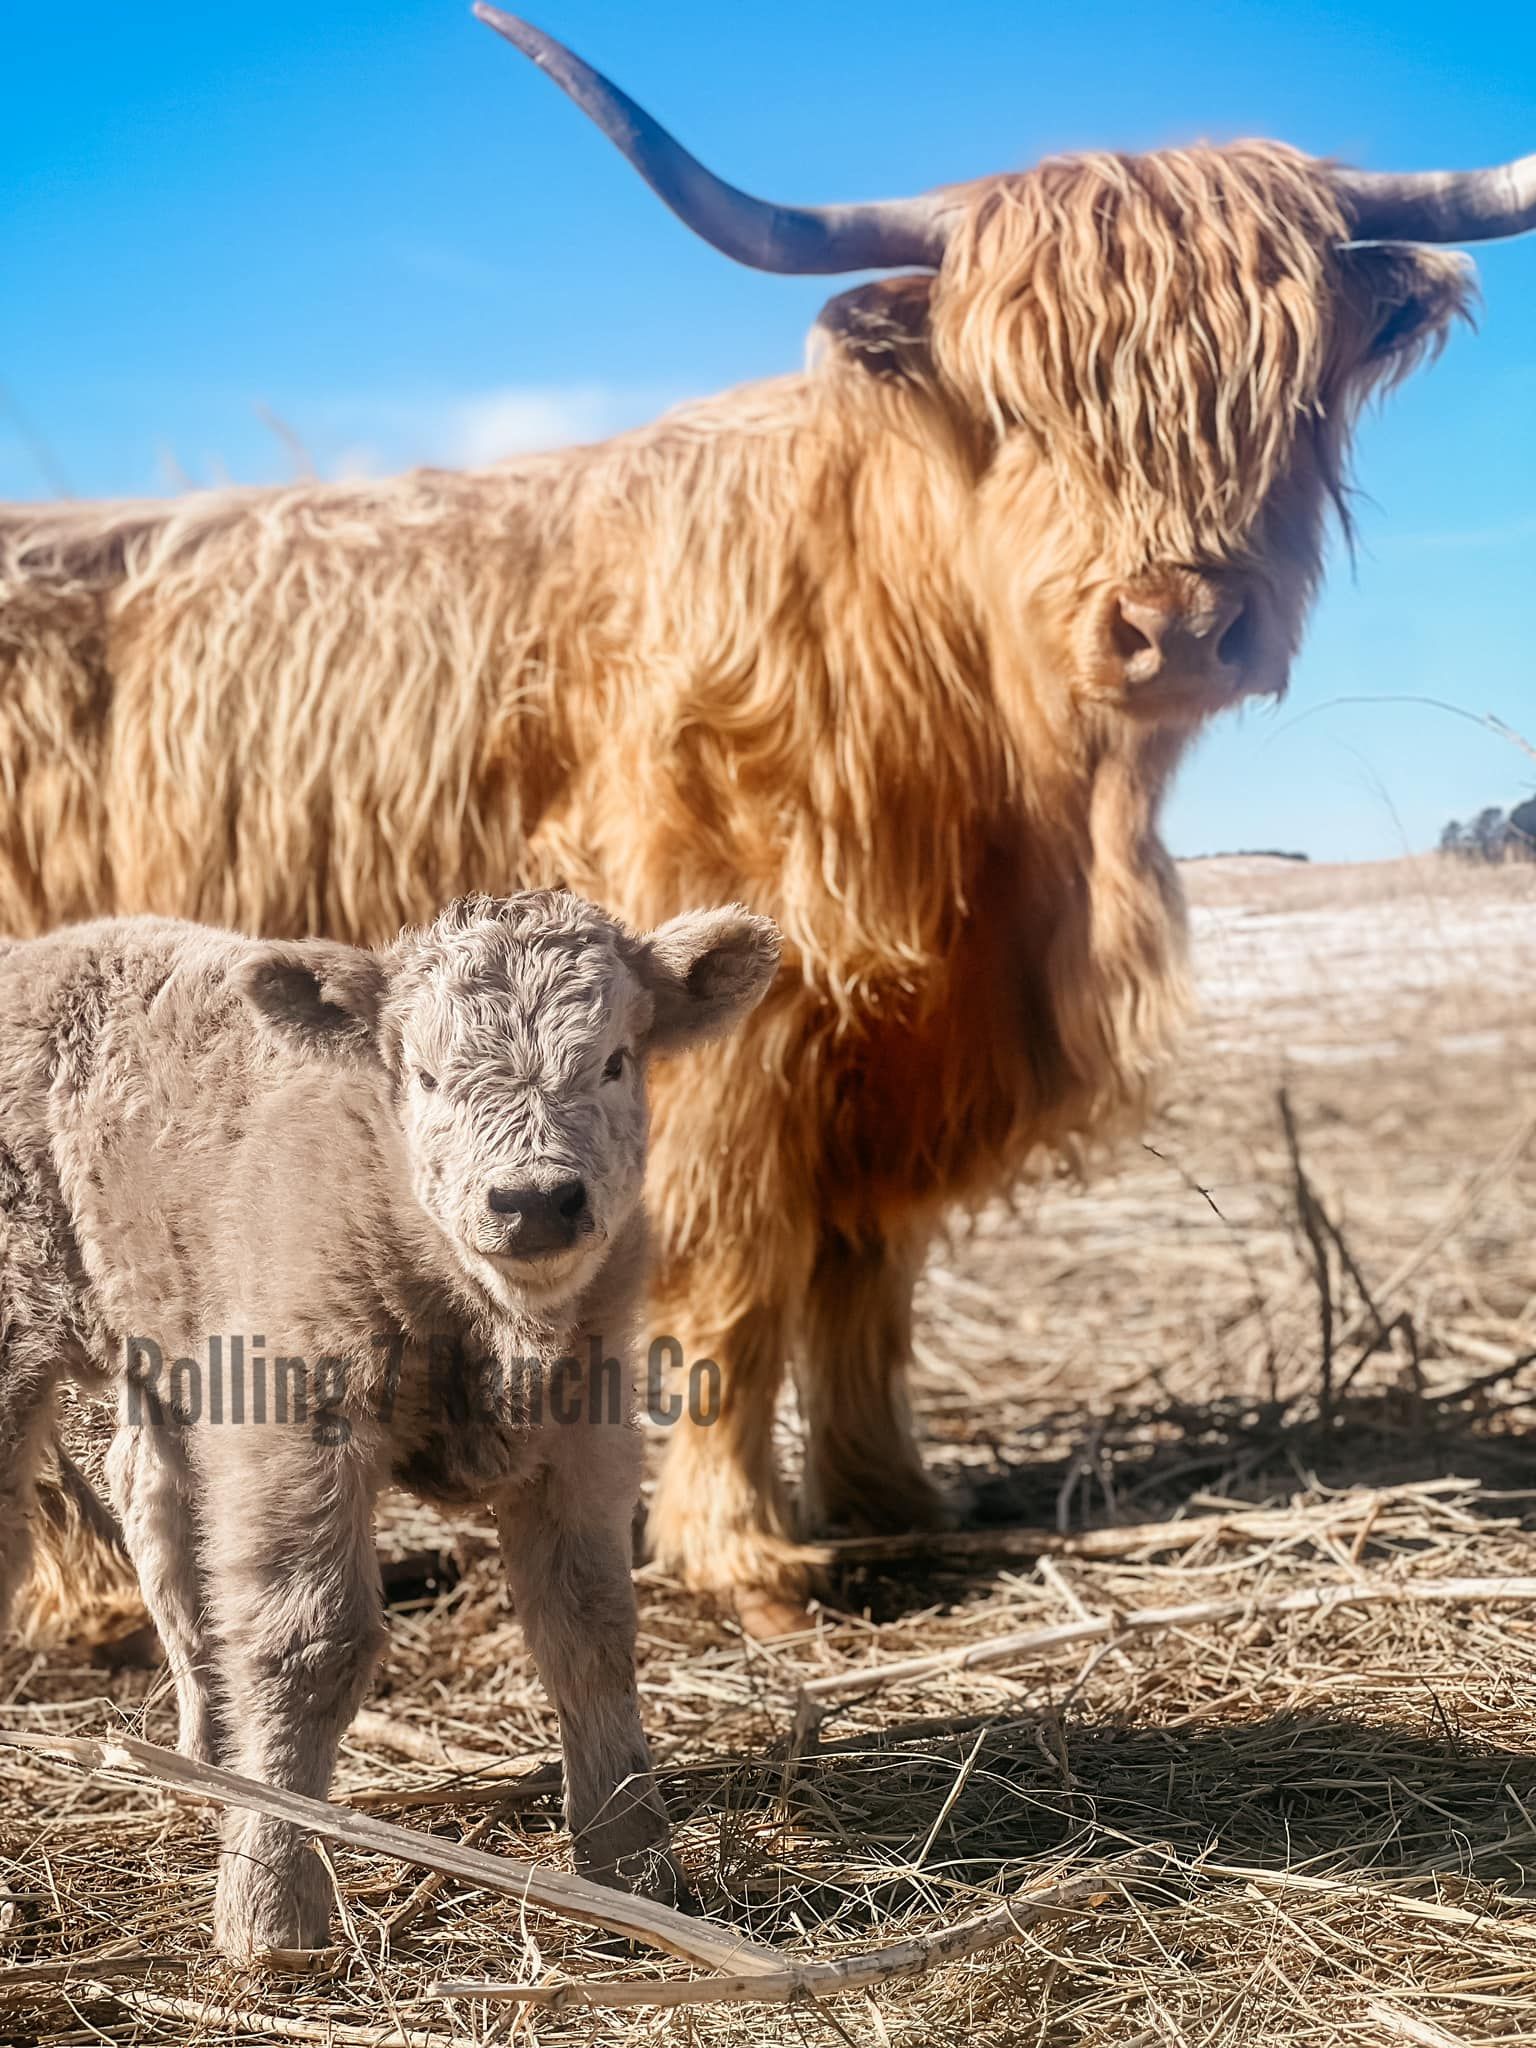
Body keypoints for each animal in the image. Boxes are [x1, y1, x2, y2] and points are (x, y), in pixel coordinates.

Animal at [0, 891, 779, 1952]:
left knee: (163, 1526)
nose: (535, 1201)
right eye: (426, 1073)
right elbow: (311, 1645)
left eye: (617, 1059)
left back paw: (206, 1765)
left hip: (165, 1356)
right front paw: (271, 1915)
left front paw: (634, 1875)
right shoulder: (295, 1422)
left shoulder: (589, 1428)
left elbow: (591, 1628)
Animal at [1, 12, 1531, 1634]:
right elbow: (741, 1271)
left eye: (1291, 400)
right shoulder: (727, 1031)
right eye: (1013, 407)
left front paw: (894, 1497)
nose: (1177, 622)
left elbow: (870, 1277)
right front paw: (741, 1554)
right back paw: (94, 1601)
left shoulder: (904, 1052)